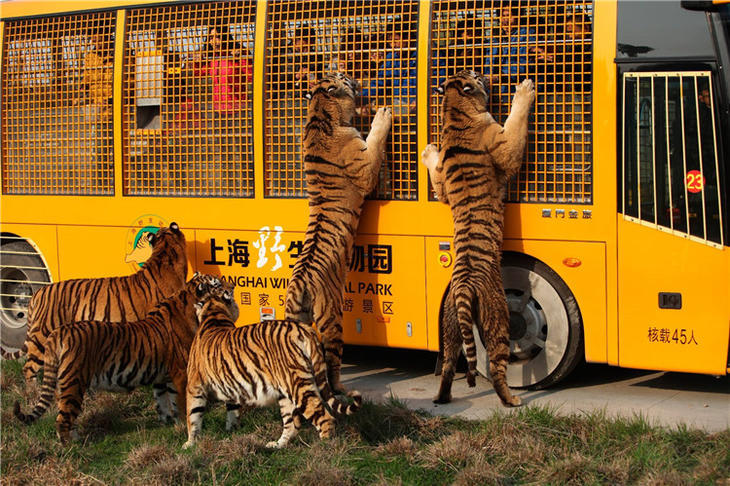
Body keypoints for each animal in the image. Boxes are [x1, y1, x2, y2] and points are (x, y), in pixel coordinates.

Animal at [13, 272, 230, 442]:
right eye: (216, 283)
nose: (230, 285)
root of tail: (59, 332)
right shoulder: (179, 372)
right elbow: (181, 403)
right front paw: (183, 425)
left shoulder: (161, 374)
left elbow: (162, 400)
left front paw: (168, 422)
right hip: (73, 381)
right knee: (62, 418)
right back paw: (69, 446)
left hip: (66, 383)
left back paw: (75, 437)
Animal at [185, 286, 362, 450]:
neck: (214, 314)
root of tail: (305, 329)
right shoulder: (230, 388)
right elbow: (232, 412)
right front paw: (231, 431)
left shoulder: (194, 387)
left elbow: (192, 416)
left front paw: (189, 444)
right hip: (285, 392)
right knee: (291, 424)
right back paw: (277, 445)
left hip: (298, 387)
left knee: (325, 419)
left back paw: (324, 447)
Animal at [282, 72, 390, 392]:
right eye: (342, 76)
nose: (355, 76)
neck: (320, 112)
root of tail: (298, 285)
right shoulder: (365, 166)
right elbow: (375, 140)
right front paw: (382, 114)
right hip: (332, 316)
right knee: (332, 360)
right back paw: (341, 389)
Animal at [420, 71, 536, 406]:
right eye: (474, 75)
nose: (484, 73)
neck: (454, 111)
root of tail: (462, 287)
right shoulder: (504, 145)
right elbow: (515, 123)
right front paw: (524, 90)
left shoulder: (443, 186)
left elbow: (437, 178)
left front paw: (428, 151)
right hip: (498, 316)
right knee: (497, 366)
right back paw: (511, 400)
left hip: (449, 324)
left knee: (448, 363)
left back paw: (442, 398)